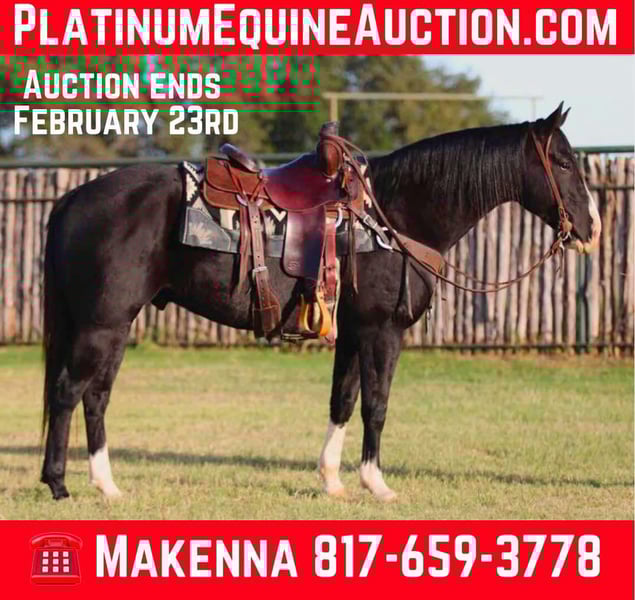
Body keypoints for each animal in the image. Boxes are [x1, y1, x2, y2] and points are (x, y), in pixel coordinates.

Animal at [40, 103, 601, 501]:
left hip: (114, 326)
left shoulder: (351, 332)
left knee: (96, 396)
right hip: (103, 324)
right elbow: (376, 403)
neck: (395, 215)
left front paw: (332, 480)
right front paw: (376, 484)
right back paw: (60, 484)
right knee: (70, 392)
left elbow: (343, 400)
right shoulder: (381, 331)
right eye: (563, 161)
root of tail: (75, 198)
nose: (591, 227)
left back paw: (107, 486)